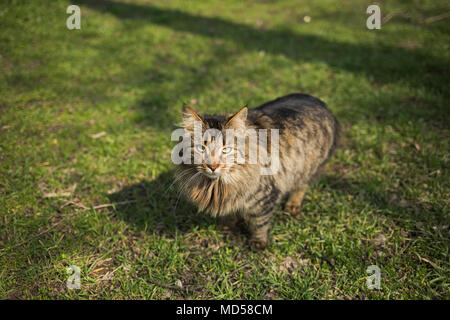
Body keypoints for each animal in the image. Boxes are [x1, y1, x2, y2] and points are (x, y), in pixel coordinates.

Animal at [174, 93, 340, 250]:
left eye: (226, 149)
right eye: (201, 148)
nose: (213, 166)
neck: (218, 184)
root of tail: (319, 101)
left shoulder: (265, 197)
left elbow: (260, 223)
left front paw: (258, 242)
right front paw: (228, 223)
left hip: (308, 168)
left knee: (301, 186)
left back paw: (292, 205)